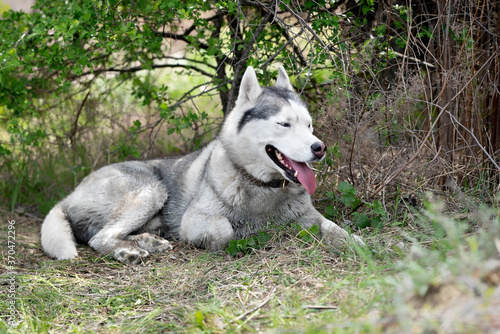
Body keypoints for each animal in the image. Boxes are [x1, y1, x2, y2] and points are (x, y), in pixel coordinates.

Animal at [42, 66, 364, 264]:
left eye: (309, 125)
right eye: (284, 124)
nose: (319, 148)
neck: (260, 186)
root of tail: (69, 195)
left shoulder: (311, 218)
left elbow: (336, 229)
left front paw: (359, 244)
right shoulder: (195, 219)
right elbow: (225, 231)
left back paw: (148, 241)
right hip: (149, 191)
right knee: (100, 237)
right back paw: (126, 251)